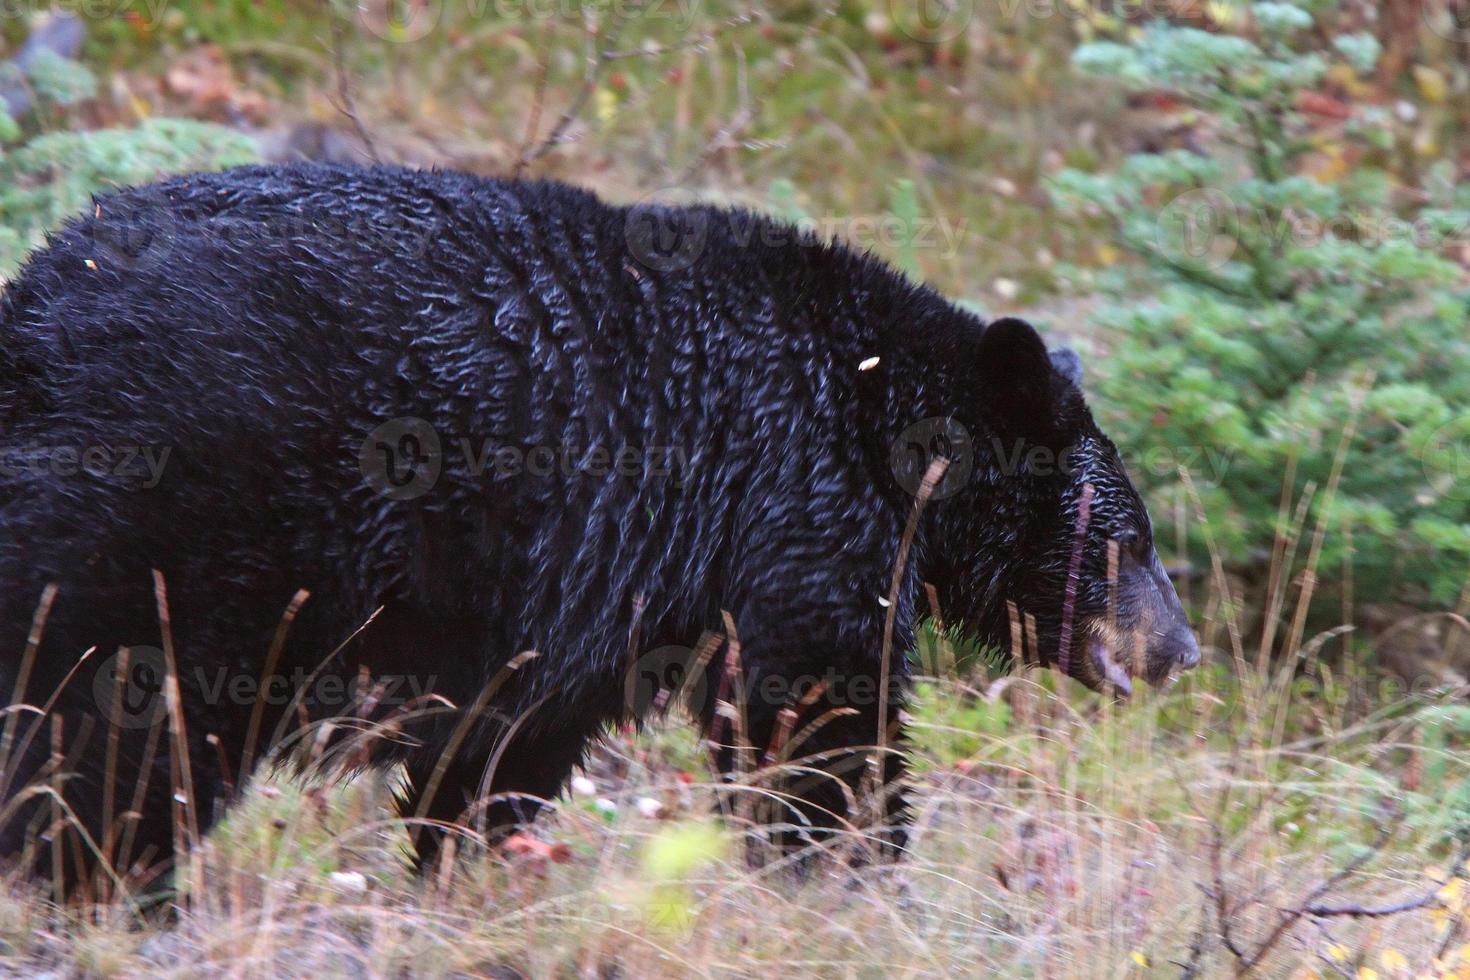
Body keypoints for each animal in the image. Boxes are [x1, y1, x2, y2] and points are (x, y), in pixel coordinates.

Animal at [0, 163, 1193, 899]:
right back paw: (102, 879)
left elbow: (507, 740)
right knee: (114, 711)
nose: (1180, 649)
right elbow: (819, 713)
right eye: (1129, 540)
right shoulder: (789, 511)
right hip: (199, 508)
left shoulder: (589, 586)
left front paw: (461, 868)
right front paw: (855, 877)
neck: (877, 416)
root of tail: (42, 300)